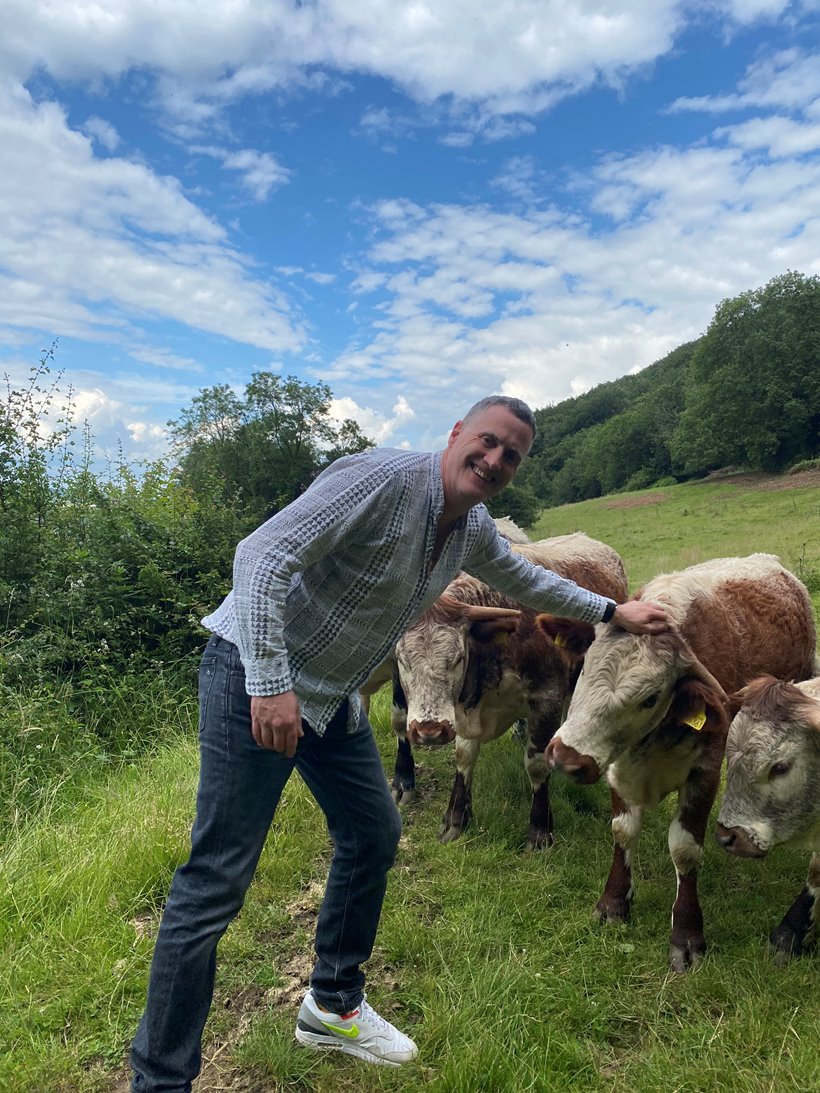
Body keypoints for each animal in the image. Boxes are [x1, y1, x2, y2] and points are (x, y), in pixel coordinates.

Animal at [391, 533, 629, 848]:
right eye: (402, 660)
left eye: (457, 659)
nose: (429, 731)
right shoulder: (466, 708)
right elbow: (464, 756)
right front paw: (456, 818)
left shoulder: (546, 699)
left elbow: (536, 765)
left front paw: (540, 829)